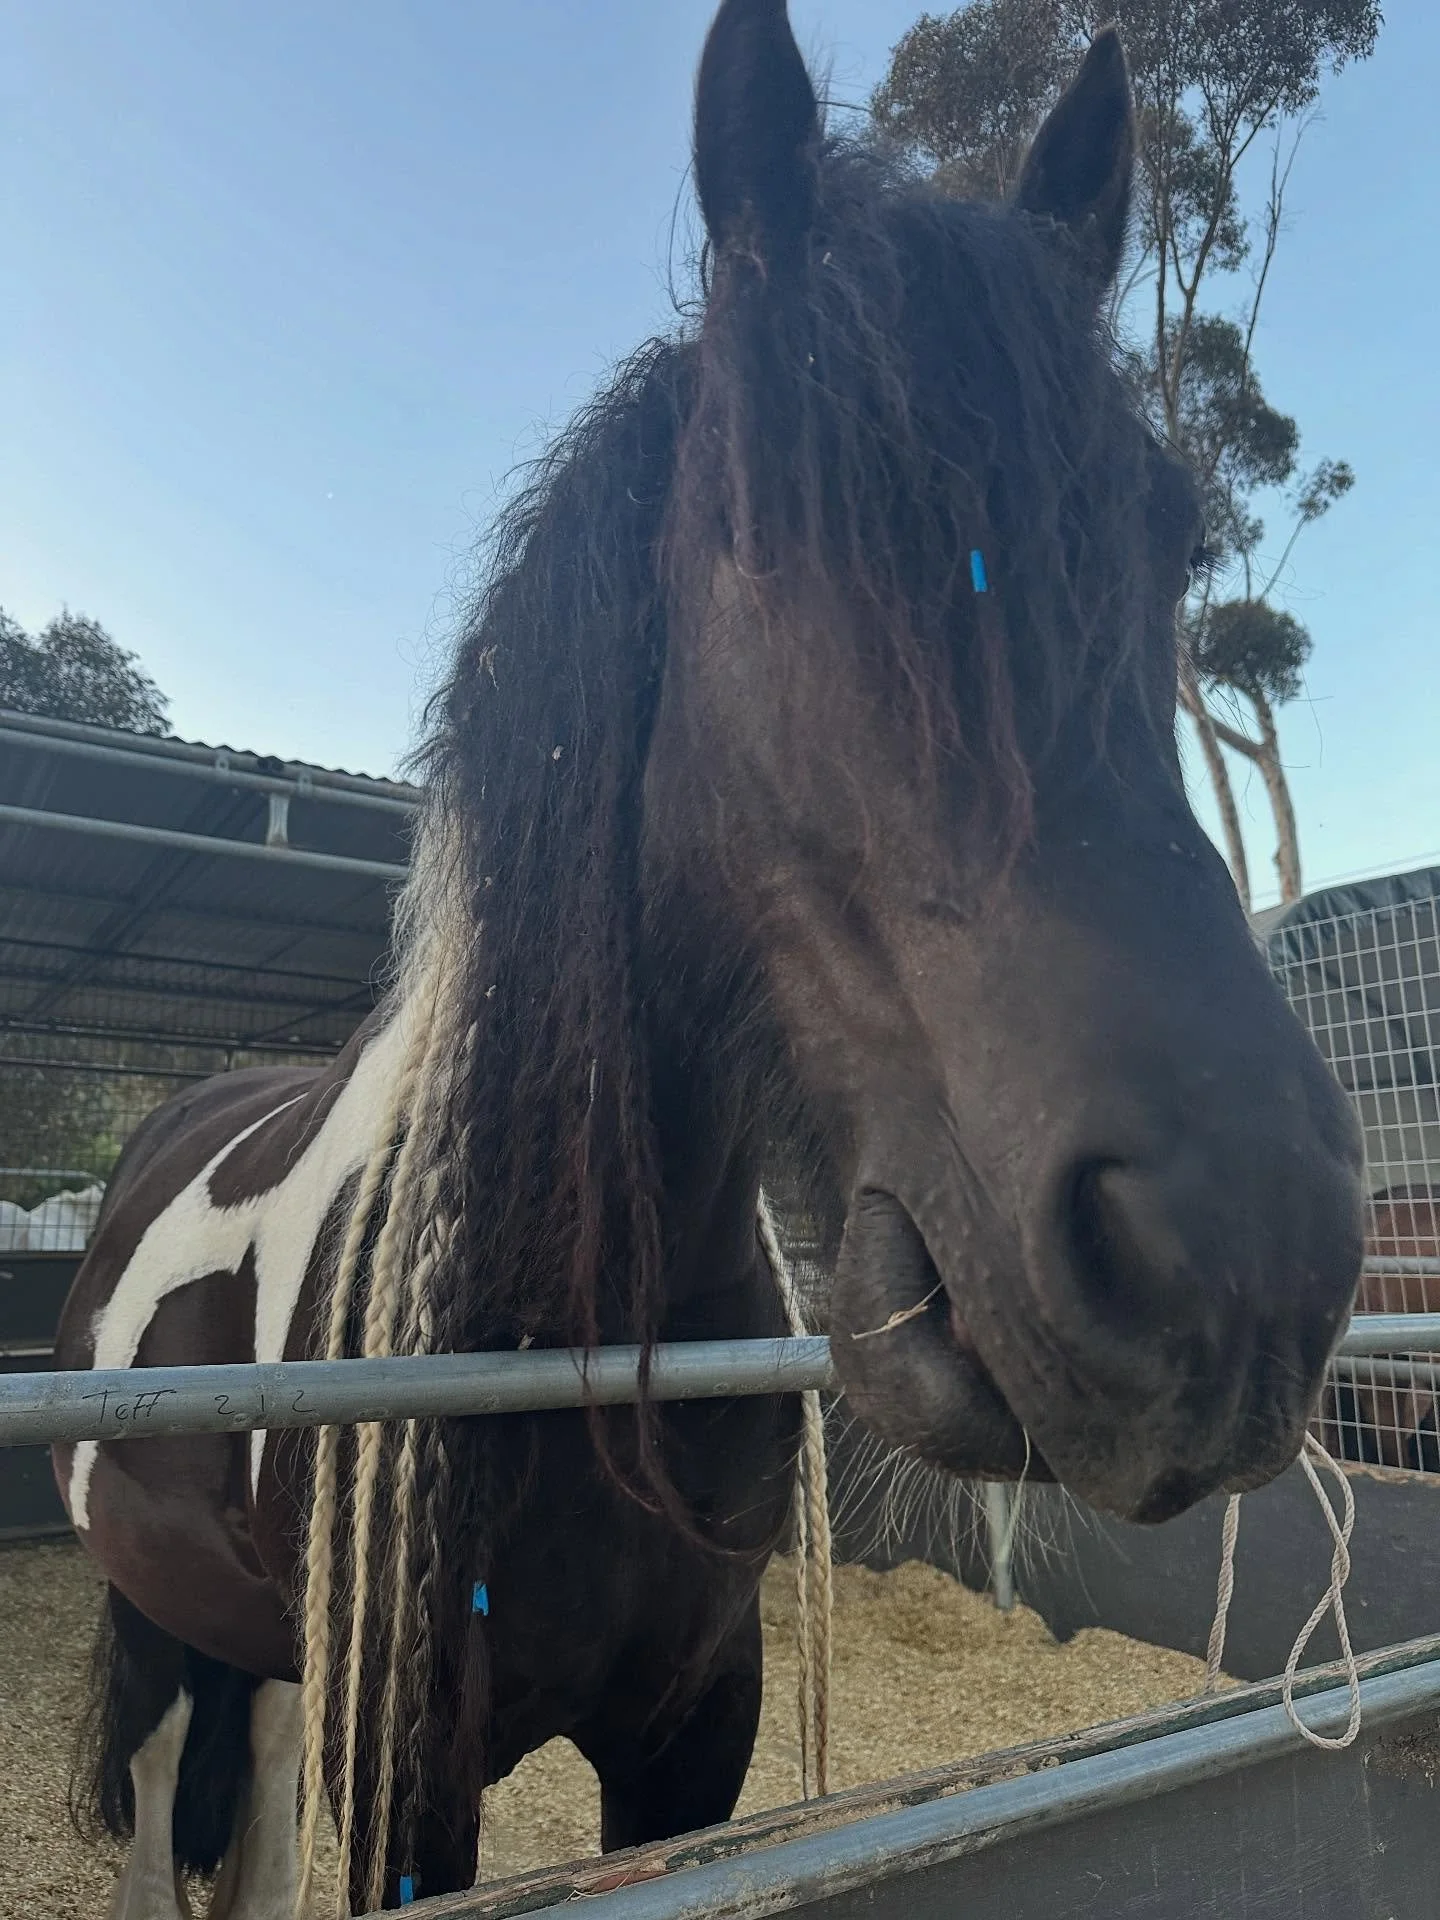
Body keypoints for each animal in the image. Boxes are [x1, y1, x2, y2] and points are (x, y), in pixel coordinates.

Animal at [54, 3, 1365, 1915]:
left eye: (1167, 535)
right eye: (759, 528)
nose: (1232, 1268)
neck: (572, 1332)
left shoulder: (689, 1737)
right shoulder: (416, 1783)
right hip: (162, 1638)